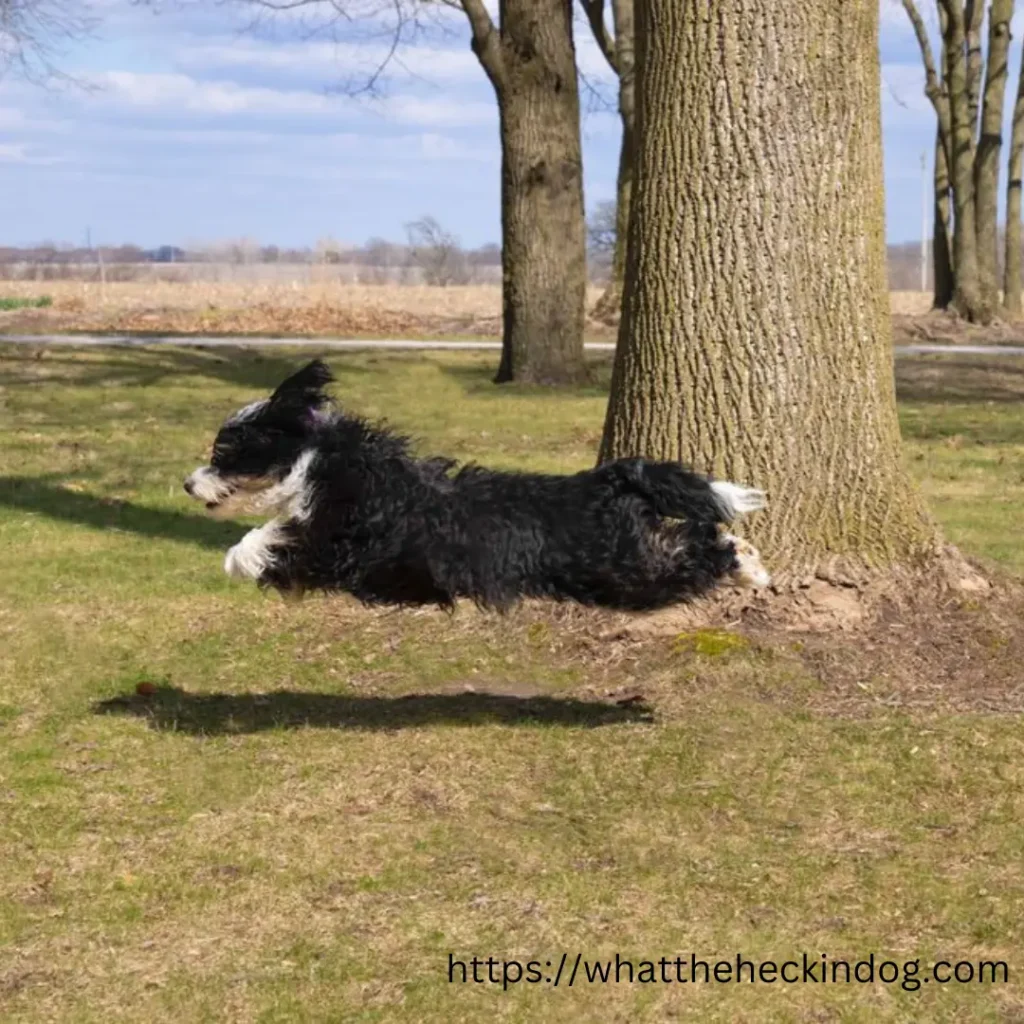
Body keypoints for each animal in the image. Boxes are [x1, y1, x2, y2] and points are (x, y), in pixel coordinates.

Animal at [186, 360, 770, 606]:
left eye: (222, 454)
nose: (189, 484)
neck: (318, 462)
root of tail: (606, 479)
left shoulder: (342, 543)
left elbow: (272, 537)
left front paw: (244, 560)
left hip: (622, 572)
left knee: (699, 553)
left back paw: (747, 568)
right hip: (620, 563)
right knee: (697, 538)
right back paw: (753, 562)